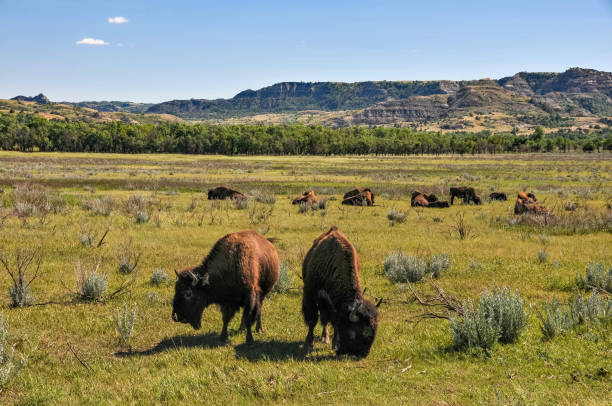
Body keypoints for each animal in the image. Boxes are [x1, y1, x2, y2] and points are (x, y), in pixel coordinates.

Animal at [300, 227, 378, 356]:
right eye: (364, 331)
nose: (364, 353)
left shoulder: (334, 306)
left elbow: (335, 322)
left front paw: (335, 343)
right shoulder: (310, 296)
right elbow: (312, 320)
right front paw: (309, 344)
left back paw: (325, 337)